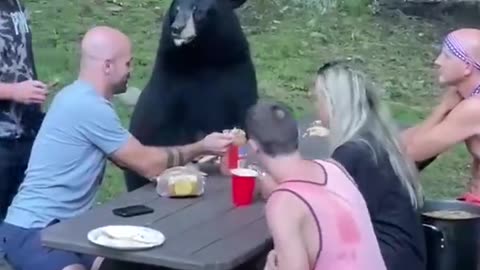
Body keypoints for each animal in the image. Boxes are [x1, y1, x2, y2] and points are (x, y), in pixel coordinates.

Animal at [124, 0, 258, 192]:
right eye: (176, 9)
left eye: (198, 10)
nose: (177, 28)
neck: (202, 58)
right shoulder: (170, 85)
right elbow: (165, 128)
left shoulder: (238, 72)